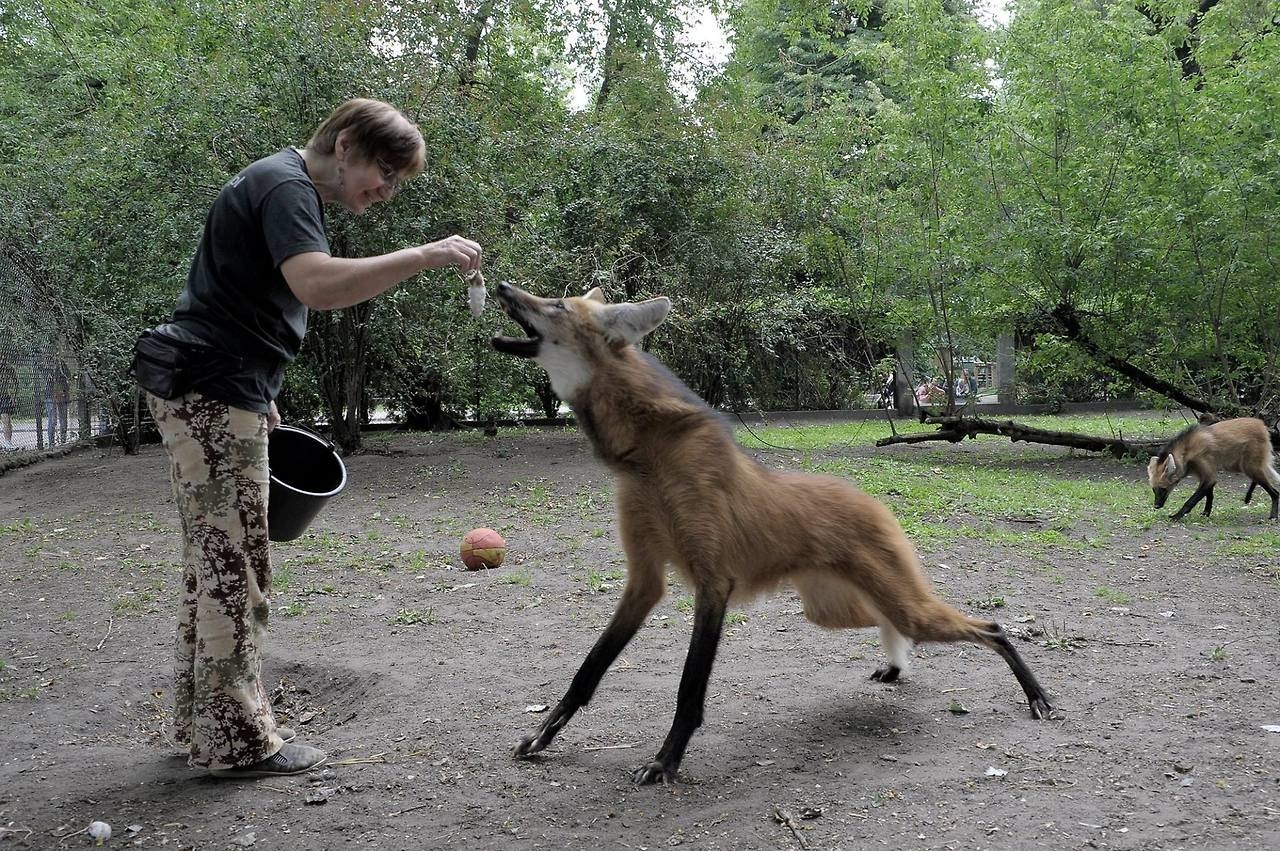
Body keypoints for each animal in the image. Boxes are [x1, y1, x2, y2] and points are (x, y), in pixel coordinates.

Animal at [488, 284, 1049, 783]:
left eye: (555, 305)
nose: (501, 286)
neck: (648, 455)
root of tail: (873, 500)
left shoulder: (713, 583)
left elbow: (689, 690)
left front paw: (665, 763)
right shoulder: (645, 582)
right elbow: (588, 672)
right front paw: (542, 737)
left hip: (894, 603)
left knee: (988, 627)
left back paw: (1036, 696)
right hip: (830, 609)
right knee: (890, 622)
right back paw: (897, 666)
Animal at [1152, 417, 1280, 522]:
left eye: (1163, 489)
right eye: (1154, 490)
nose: (1156, 506)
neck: (1187, 451)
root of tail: (1262, 425)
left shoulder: (1207, 472)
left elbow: (1192, 500)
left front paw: (1177, 516)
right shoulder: (1204, 475)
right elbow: (1209, 495)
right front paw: (1206, 513)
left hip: (1247, 465)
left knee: (1275, 492)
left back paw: (1273, 516)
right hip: (1241, 466)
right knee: (1258, 477)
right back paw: (1248, 496)